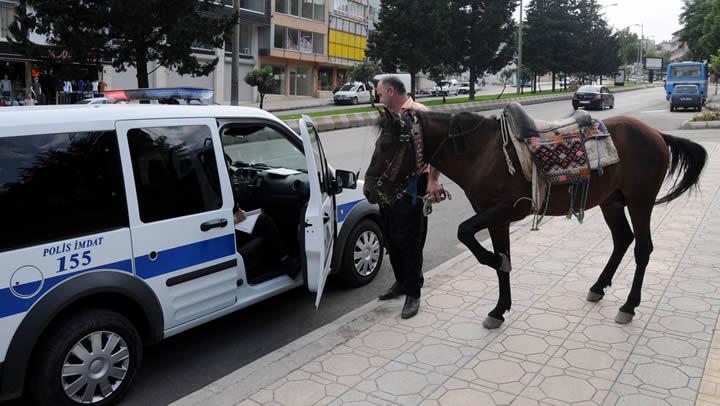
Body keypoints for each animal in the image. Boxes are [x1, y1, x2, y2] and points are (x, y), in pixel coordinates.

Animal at [362, 106, 704, 328]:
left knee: (642, 248)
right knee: (623, 239)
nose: (368, 190)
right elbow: (499, 255)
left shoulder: (504, 210)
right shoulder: (493, 217)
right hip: (612, 202)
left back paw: (629, 306)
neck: (480, 152)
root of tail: (656, 133)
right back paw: (598, 286)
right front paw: (499, 308)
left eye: (387, 145)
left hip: (640, 202)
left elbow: (467, 234)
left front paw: (497, 265)